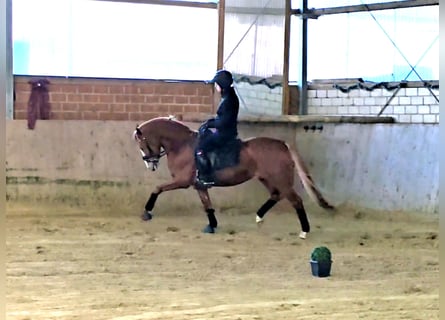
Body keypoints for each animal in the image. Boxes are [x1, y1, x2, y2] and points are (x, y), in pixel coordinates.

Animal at [132, 116, 332, 239]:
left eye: (142, 144)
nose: (151, 165)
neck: (182, 145)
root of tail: (282, 145)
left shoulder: (182, 181)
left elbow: (157, 188)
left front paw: (147, 212)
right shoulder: (200, 185)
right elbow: (207, 205)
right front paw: (212, 225)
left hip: (281, 180)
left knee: (295, 200)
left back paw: (304, 231)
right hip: (267, 179)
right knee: (276, 195)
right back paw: (259, 217)